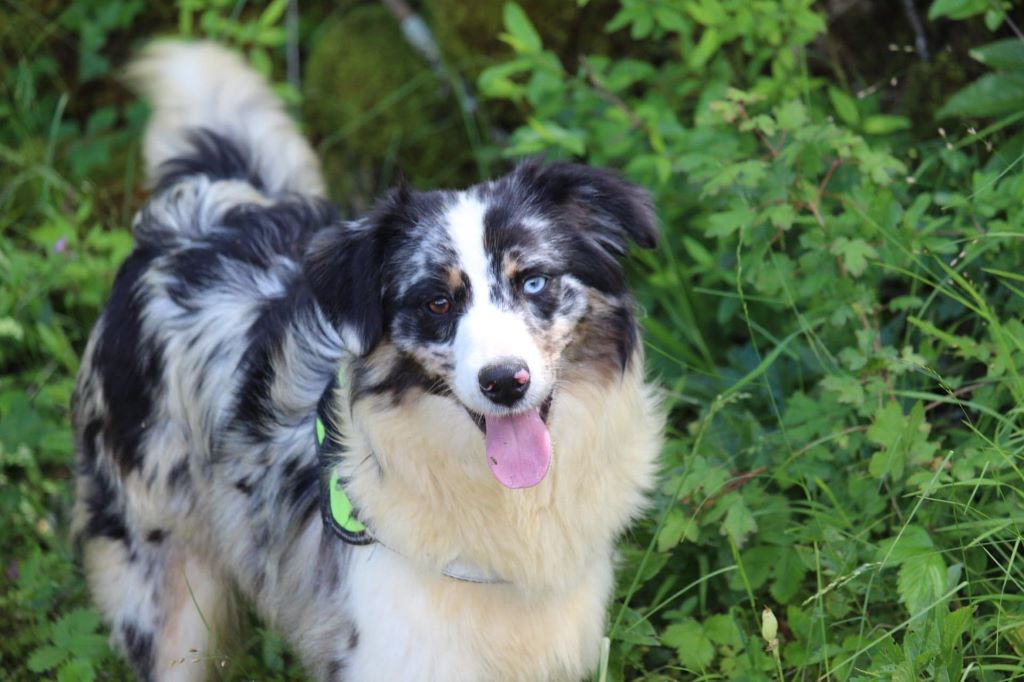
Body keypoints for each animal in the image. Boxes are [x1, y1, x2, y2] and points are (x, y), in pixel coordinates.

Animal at [74, 42, 663, 679]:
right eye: (437, 302)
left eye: (533, 280)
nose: (505, 381)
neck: (503, 505)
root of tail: (193, 216)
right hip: (167, 589)